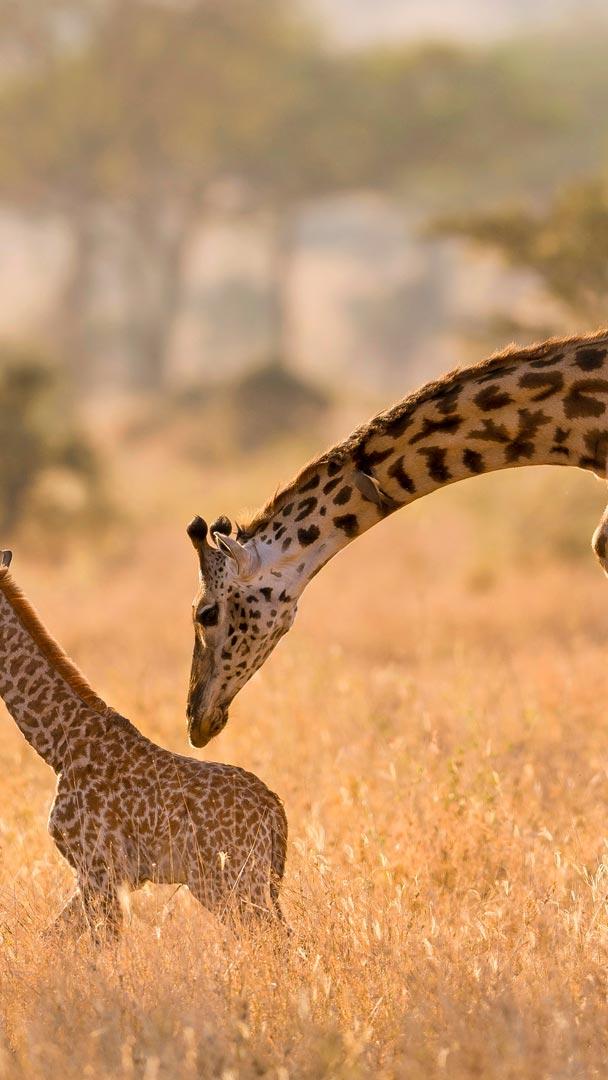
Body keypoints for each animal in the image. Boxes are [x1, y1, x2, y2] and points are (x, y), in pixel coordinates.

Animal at [0, 551, 287, 939]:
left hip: (229, 882)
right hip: (248, 882)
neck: (59, 745)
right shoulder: (102, 876)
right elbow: (52, 937)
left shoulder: (101, 868)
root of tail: (275, 809)